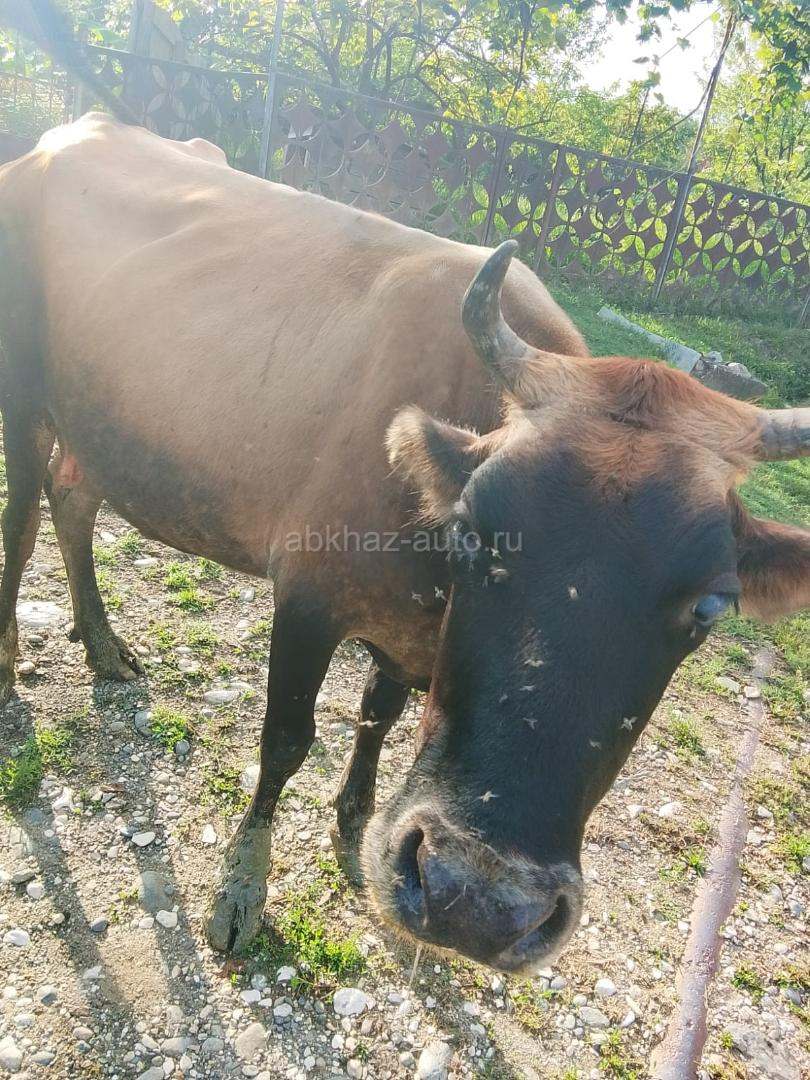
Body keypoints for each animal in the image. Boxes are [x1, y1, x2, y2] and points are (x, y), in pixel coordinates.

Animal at [0, 113, 807, 974]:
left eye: (714, 607)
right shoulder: (309, 594)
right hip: (23, 390)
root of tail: (74, 131)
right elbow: (286, 740)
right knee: (22, 518)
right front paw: (241, 890)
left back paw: (102, 643)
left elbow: (377, 718)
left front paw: (353, 824)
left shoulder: (406, 641)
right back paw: (12, 665)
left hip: (103, 420)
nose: (478, 902)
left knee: (73, 496)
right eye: (473, 531)